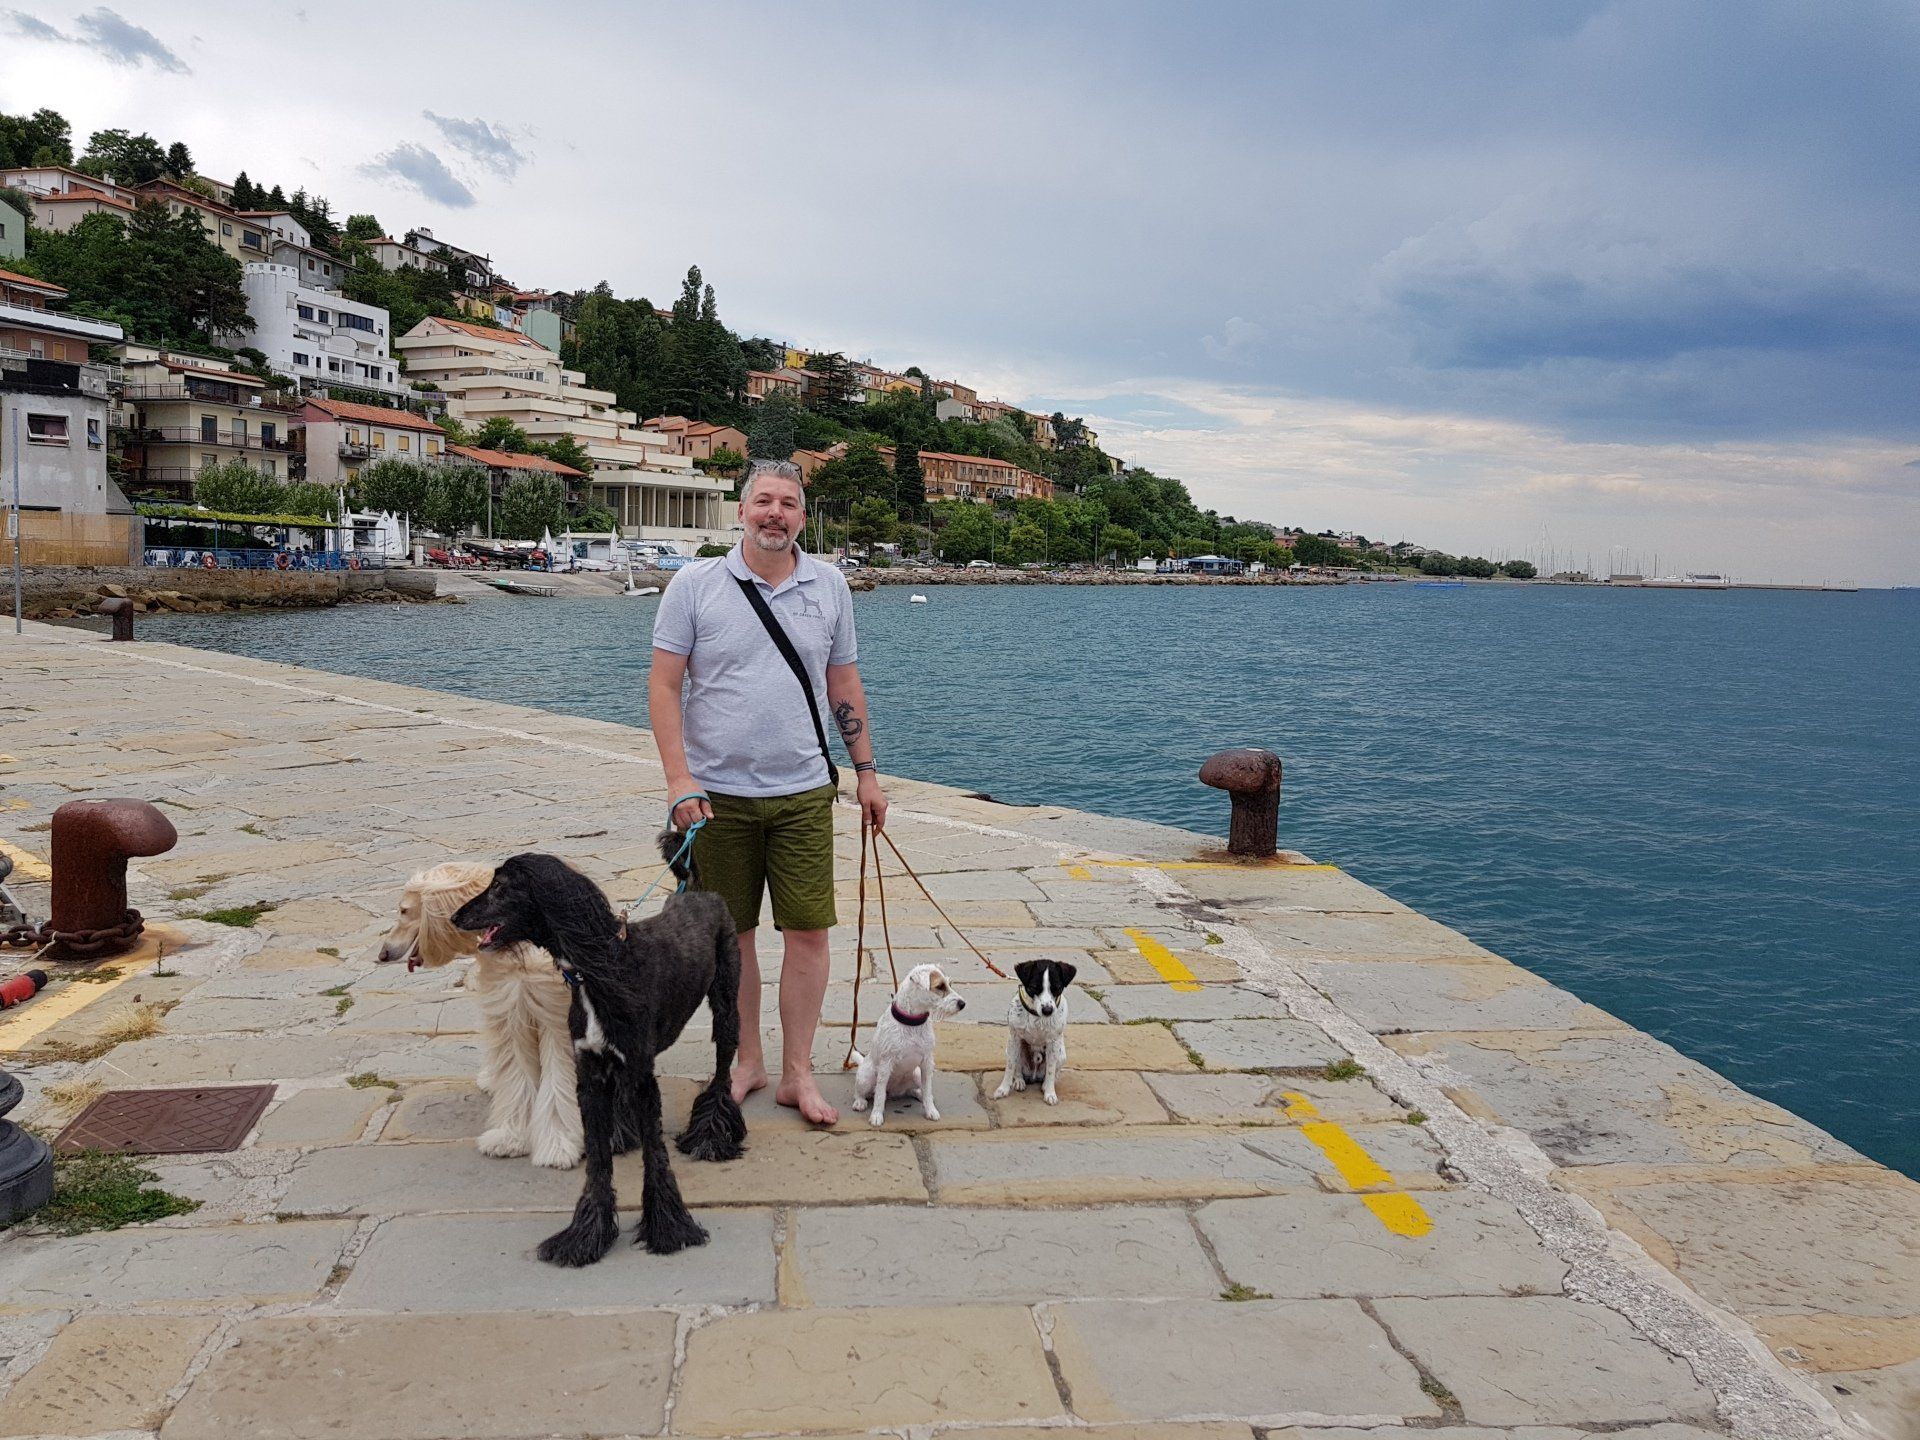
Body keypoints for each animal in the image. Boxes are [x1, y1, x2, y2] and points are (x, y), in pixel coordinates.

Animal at [377, 862, 583, 1170]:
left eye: (403, 910)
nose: (382, 953)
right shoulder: (512, 1015)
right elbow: (517, 1076)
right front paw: (511, 1137)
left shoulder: (553, 1019)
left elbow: (557, 1080)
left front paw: (558, 1145)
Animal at [450, 838, 746, 1266]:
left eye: (501, 886)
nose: (456, 916)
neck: (599, 971)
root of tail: (699, 892)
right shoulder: (589, 1072)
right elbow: (598, 1160)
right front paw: (587, 1234)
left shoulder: (641, 1076)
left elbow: (656, 1156)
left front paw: (668, 1227)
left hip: (726, 1000)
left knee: (723, 1068)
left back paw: (710, 1136)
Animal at [850, 963, 966, 1126]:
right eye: (940, 986)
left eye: (950, 984)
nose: (962, 1004)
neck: (913, 1022)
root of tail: (893, 1090)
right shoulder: (886, 1065)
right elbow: (879, 1095)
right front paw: (877, 1115)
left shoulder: (927, 1063)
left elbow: (928, 1088)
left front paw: (930, 1109)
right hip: (866, 1076)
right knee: (861, 1092)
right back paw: (860, 1102)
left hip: (916, 1074)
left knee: (914, 1090)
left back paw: (919, 1094)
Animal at [994, 959, 1077, 1105]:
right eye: (1033, 987)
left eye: (1058, 988)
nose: (1048, 1010)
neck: (1037, 1016)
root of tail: (1034, 1075)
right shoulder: (1014, 1038)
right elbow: (1010, 1067)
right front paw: (1003, 1089)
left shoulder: (1053, 1043)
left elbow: (1050, 1071)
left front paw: (1050, 1093)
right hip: (1012, 1049)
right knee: (1017, 1068)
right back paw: (1019, 1081)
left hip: (1061, 1055)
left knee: (1054, 1072)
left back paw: (1045, 1085)